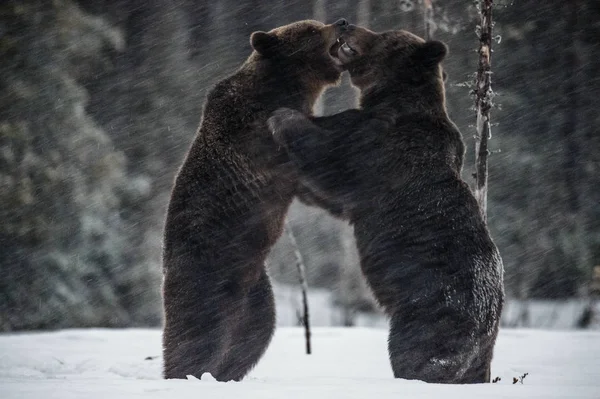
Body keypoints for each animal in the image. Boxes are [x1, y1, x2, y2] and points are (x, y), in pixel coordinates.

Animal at [162, 18, 350, 382]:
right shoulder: (253, 137)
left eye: (318, 23)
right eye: (310, 29)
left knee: (251, 337)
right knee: (195, 336)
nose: (342, 22)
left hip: (255, 293)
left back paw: (225, 374)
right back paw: (186, 375)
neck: (289, 89)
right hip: (205, 277)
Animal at [270, 25, 504, 384]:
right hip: (479, 351)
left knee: (416, 354)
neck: (391, 100)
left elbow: (332, 165)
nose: (346, 25)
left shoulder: (383, 153)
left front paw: (283, 116)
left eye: (382, 35)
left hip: (432, 314)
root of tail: (490, 317)